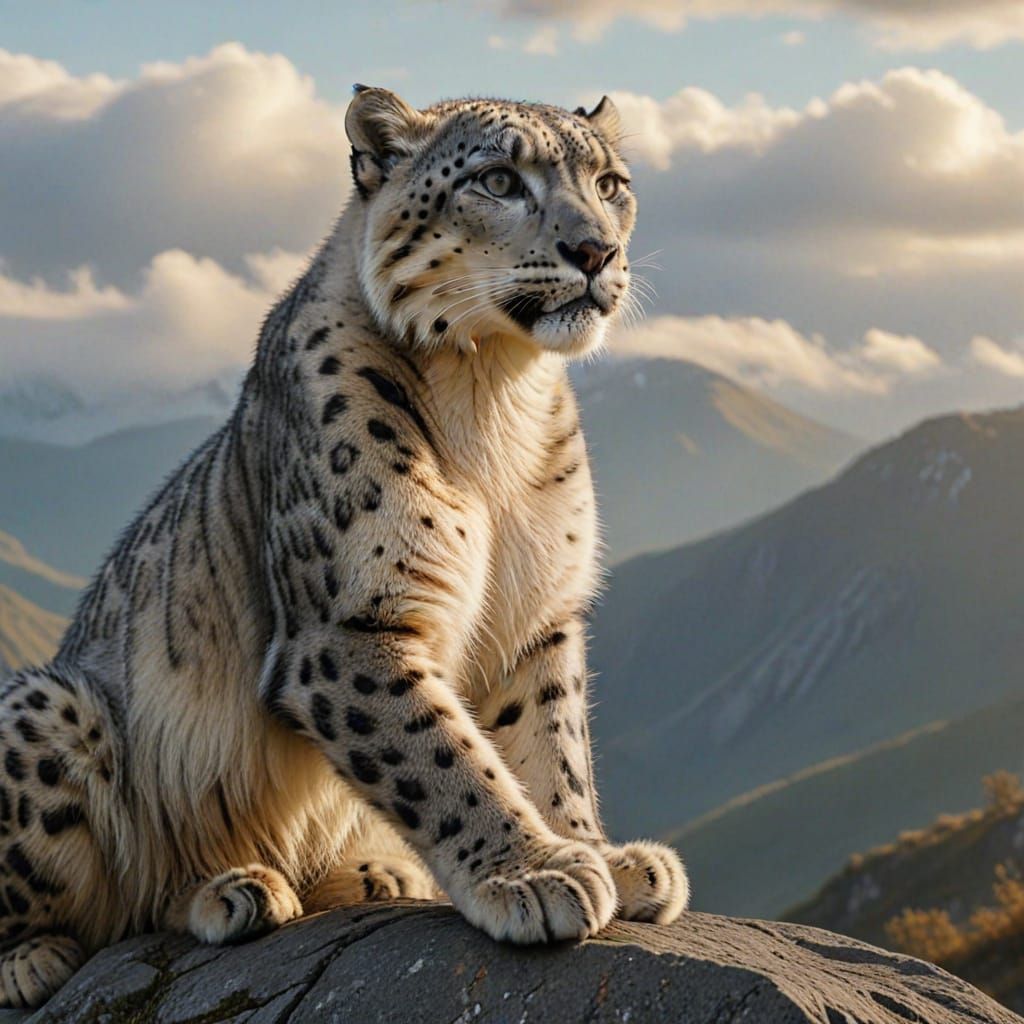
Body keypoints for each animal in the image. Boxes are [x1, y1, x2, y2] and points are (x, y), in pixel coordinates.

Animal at [0, 86, 689, 1008]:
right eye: (498, 179)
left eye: (611, 183)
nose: (596, 250)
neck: (496, 398)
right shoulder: (350, 625)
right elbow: (440, 754)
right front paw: (534, 872)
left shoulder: (538, 613)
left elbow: (550, 744)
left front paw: (600, 856)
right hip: (47, 704)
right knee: (111, 905)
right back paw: (121, 926)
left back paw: (342, 878)